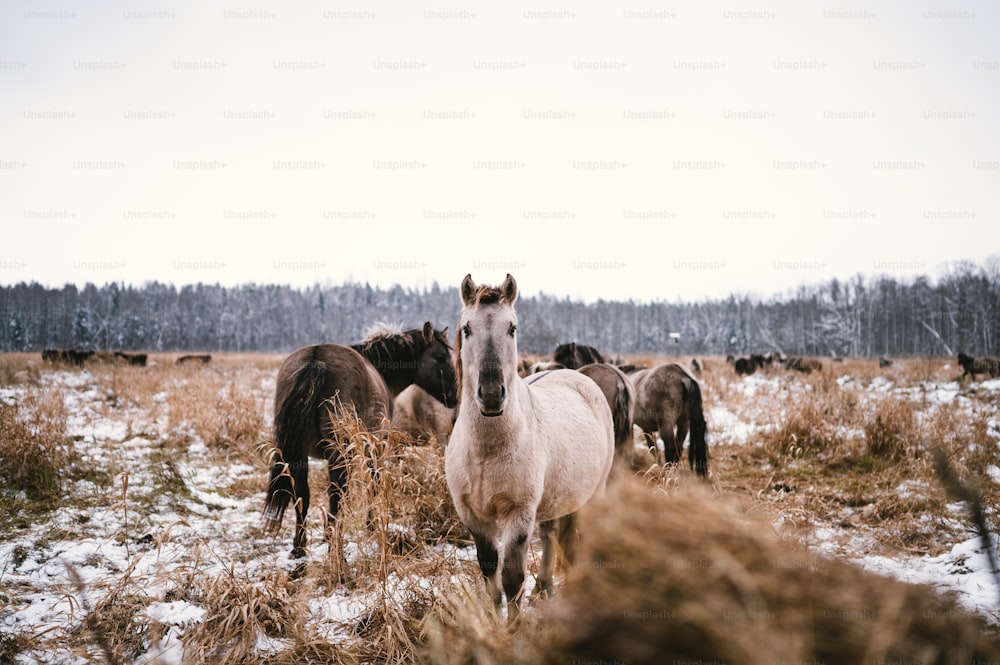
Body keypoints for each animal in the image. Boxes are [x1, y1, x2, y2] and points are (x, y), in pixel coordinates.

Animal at [262, 320, 458, 556]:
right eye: (440, 357)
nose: (456, 395)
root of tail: (316, 360)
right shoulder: (377, 446)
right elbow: (374, 485)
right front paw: (371, 527)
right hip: (339, 454)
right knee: (336, 495)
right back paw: (334, 546)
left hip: (300, 455)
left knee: (302, 496)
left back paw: (299, 547)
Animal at [448, 274, 616, 616]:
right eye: (467, 328)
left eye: (512, 327)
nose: (491, 394)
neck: (486, 450)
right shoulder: (473, 516)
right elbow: (489, 571)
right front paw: (493, 620)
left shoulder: (519, 512)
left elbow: (512, 578)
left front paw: (513, 627)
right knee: (551, 535)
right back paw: (545, 587)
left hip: (594, 492)